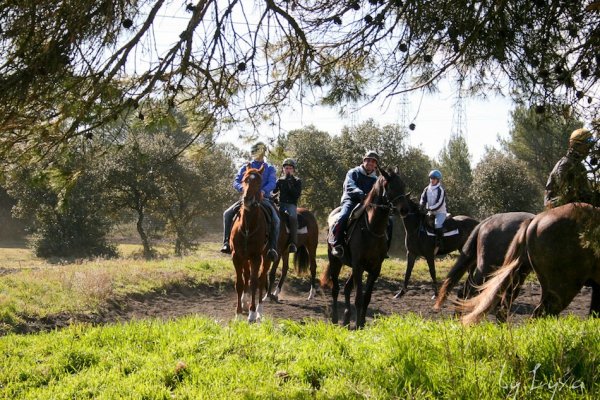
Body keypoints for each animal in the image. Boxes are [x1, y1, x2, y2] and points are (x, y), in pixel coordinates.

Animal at [230, 162, 270, 322]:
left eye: (259, 182)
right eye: (244, 180)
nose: (247, 199)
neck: (247, 226)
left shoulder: (255, 257)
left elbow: (254, 283)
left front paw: (252, 313)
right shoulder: (236, 256)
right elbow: (240, 283)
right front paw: (238, 312)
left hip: (267, 258)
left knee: (261, 279)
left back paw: (259, 310)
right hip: (244, 258)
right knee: (246, 276)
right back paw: (244, 302)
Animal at [322, 168, 410, 328]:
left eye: (403, 185)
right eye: (390, 187)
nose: (405, 209)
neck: (371, 227)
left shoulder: (374, 268)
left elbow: (367, 298)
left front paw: (361, 324)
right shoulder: (358, 266)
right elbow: (358, 298)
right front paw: (357, 325)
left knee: (346, 288)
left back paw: (346, 319)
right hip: (335, 261)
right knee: (336, 289)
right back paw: (335, 320)